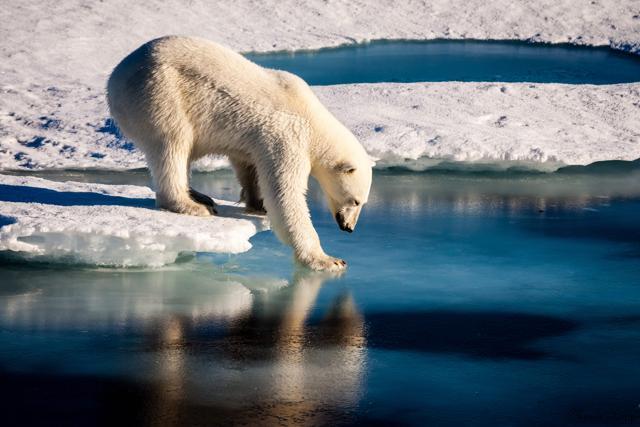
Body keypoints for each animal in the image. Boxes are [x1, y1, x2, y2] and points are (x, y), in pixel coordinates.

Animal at [107, 36, 373, 271]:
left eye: (362, 202)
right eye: (355, 201)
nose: (348, 227)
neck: (313, 120)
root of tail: (115, 77)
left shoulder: (256, 140)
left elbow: (248, 164)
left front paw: (257, 203)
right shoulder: (287, 137)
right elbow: (285, 195)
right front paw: (328, 260)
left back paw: (200, 195)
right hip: (160, 94)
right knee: (172, 144)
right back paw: (191, 205)